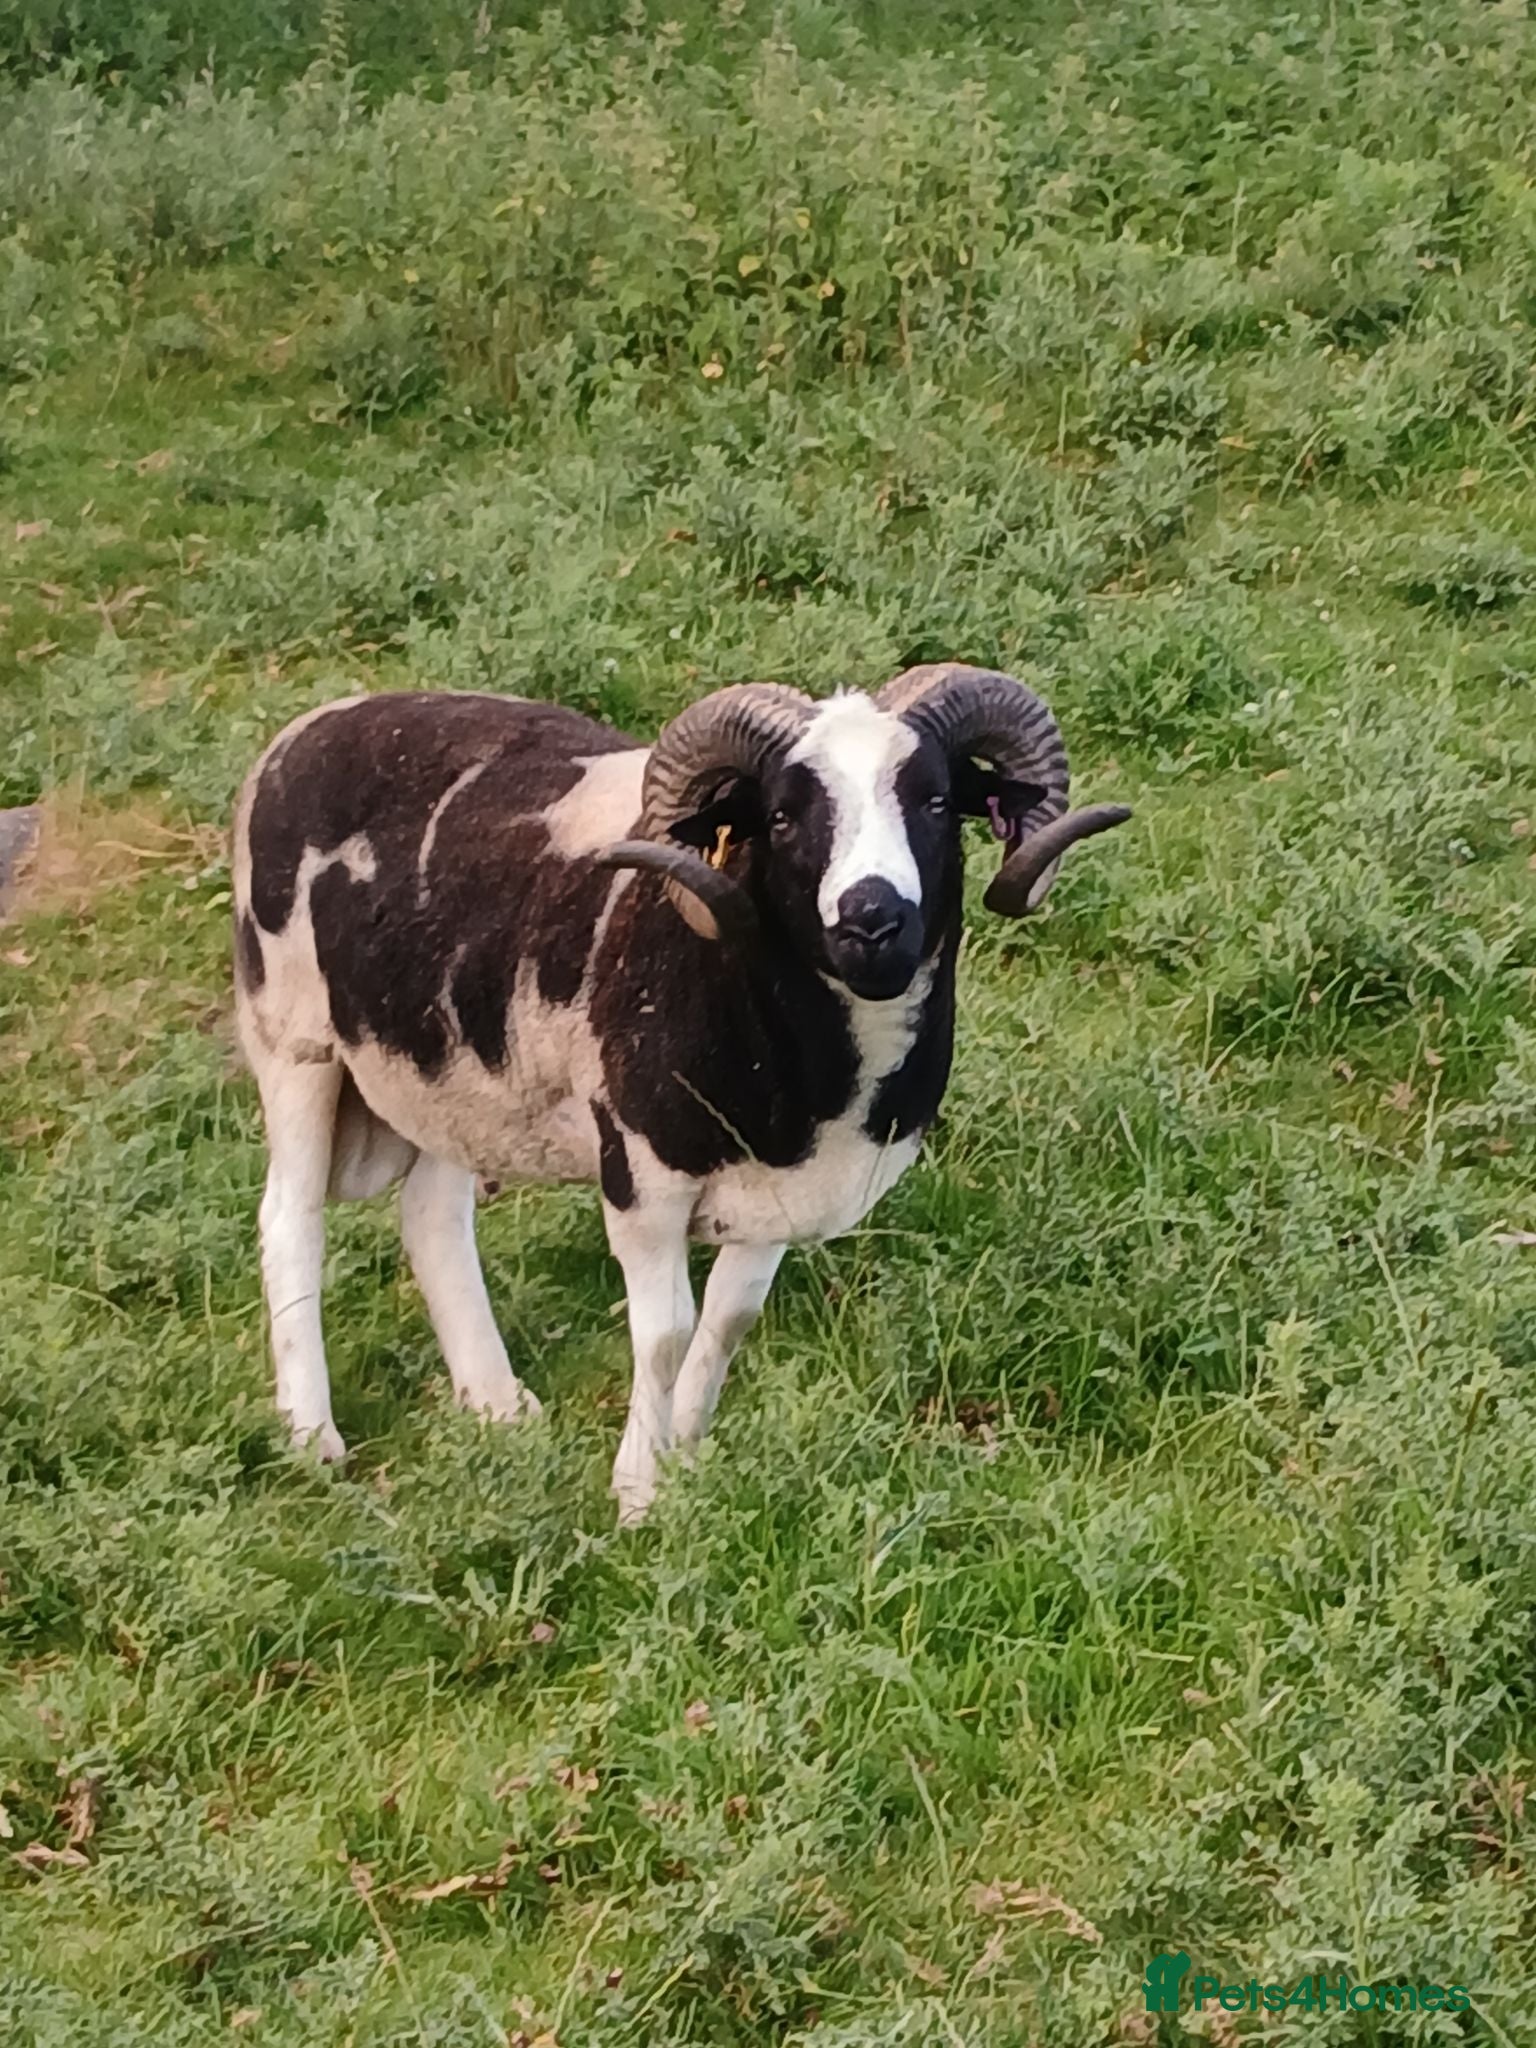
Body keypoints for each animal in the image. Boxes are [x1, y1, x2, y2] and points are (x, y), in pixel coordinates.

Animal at [232, 665, 1129, 1520]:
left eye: (936, 800)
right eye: (781, 818)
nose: (871, 922)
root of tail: (306, 731)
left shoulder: (779, 1192)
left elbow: (728, 1325)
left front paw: (686, 1466)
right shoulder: (643, 1175)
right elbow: (666, 1333)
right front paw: (638, 1493)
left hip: (446, 1077)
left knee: (432, 1217)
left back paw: (496, 1404)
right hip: (295, 1042)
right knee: (289, 1222)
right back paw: (312, 1435)